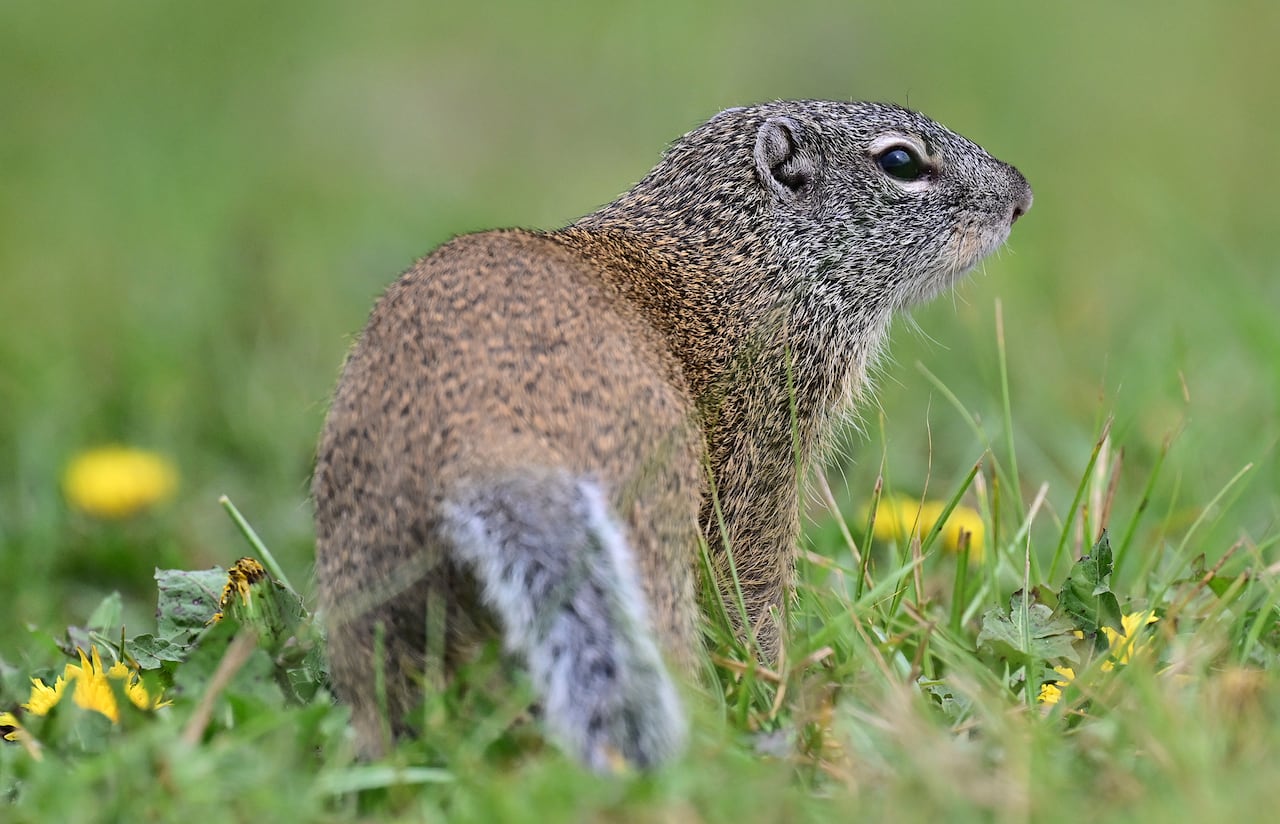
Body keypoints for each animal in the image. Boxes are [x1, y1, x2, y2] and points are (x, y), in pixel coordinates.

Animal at [313, 99, 1032, 771]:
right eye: (901, 162)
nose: (1022, 194)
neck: (739, 252)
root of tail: (487, 443)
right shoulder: (763, 445)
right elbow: (752, 580)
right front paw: (778, 680)